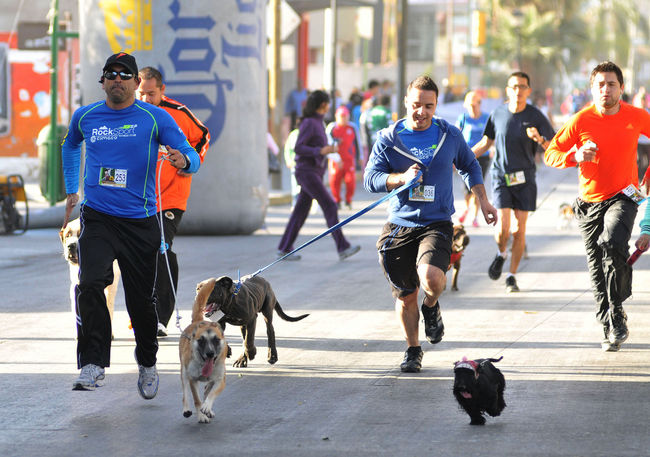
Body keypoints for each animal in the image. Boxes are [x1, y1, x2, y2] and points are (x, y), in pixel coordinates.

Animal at [179, 282, 228, 423]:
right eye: (201, 341)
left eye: (216, 340)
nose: (210, 354)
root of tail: (197, 322)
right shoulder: (192, 379)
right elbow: (196, 399)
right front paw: (201, 415)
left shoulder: (220, 380)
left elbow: (212, 393)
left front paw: (207, 407)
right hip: (184, 372)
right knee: (185, 391)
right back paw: (186, 409)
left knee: (207, 389)